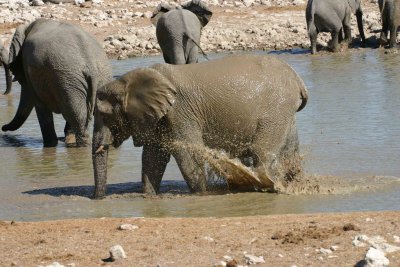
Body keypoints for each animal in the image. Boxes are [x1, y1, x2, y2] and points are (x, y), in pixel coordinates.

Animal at [1, 18, 112, 148]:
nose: (3, 127)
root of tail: (92, 68)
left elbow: (39, 104)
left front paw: (50, 145)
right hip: (92, 79)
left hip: (69, 81)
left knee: (77, 116)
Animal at [91, 54, 310, 199]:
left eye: (104, 115)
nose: (98, 199)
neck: (127, 81)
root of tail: (298, 79)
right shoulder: (159, 117)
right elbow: (153, 158)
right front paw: (150, 197)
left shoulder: (180, 111)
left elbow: (187, 153)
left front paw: (202, 195)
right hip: (284, 113)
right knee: (290, 152)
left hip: (276, 109)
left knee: (261, 152)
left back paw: (268, 185)